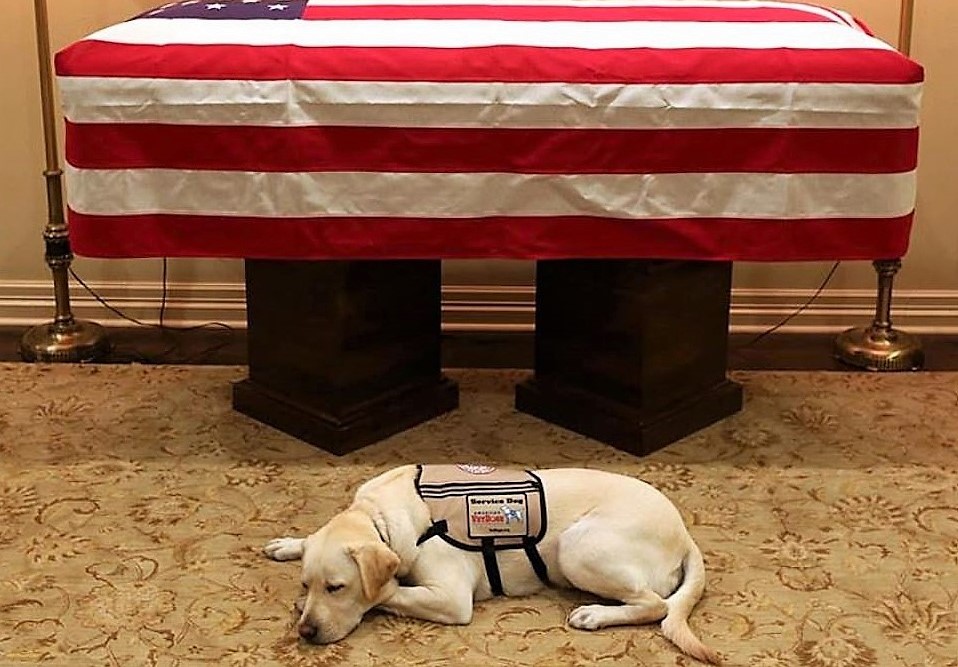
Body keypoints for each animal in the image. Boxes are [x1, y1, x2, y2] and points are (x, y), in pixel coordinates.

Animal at [262, 468, 720, 664]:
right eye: (306, 583)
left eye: (337, 587)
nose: (305, 632)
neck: (379, 515)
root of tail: (685, 533)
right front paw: (290, 544)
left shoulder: (450, 599)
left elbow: (389, 592)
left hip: (578, 547)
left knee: (657, 605)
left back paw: (594, 614)